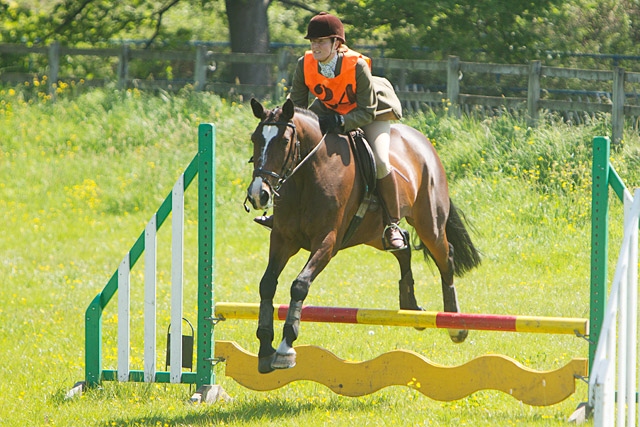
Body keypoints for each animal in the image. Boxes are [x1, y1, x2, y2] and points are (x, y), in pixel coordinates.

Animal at [245, 98, 480, 372]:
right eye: (254, 138)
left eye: (283, 141)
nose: (258, 194)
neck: (307, 175)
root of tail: (424, 142)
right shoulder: (282, 239)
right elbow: (267, 284)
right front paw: (264, 348)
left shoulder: (327, 242)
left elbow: (299, 285)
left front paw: (285, 348)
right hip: (374, 232)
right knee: (403, 245)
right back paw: (410, 307)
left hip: (428, 223)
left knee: (445, 258)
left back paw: (455, 325)